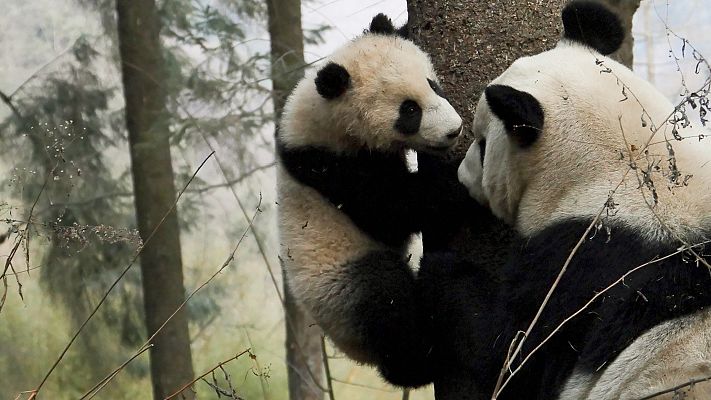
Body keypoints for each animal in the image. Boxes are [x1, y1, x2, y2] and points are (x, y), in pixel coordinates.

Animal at [277, 14, 465, 386]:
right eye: (409, 111)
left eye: (433, 85)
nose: (454, 130)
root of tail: (354, 351)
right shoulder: (328, 167)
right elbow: (391, 212)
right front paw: (455, 180)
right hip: (340, 288)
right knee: (385, 300)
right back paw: (422, 360)